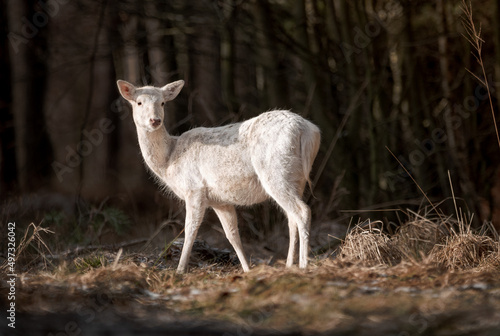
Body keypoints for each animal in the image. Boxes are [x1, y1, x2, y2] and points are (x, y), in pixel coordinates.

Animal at [117, 79, 320, 272]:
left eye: (163, 102)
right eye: (139, 102)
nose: (155, 120)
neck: (169, 161)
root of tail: (308, 131)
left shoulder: (194, 188)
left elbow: (190, 229)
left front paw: (180, 270)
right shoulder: (220, 200)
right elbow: (232, 234)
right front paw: (247, 270)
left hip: (276, 172)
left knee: (303, 211)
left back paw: (304, 265)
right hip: (296, 178)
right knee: (291, 218)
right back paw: (289, 265)